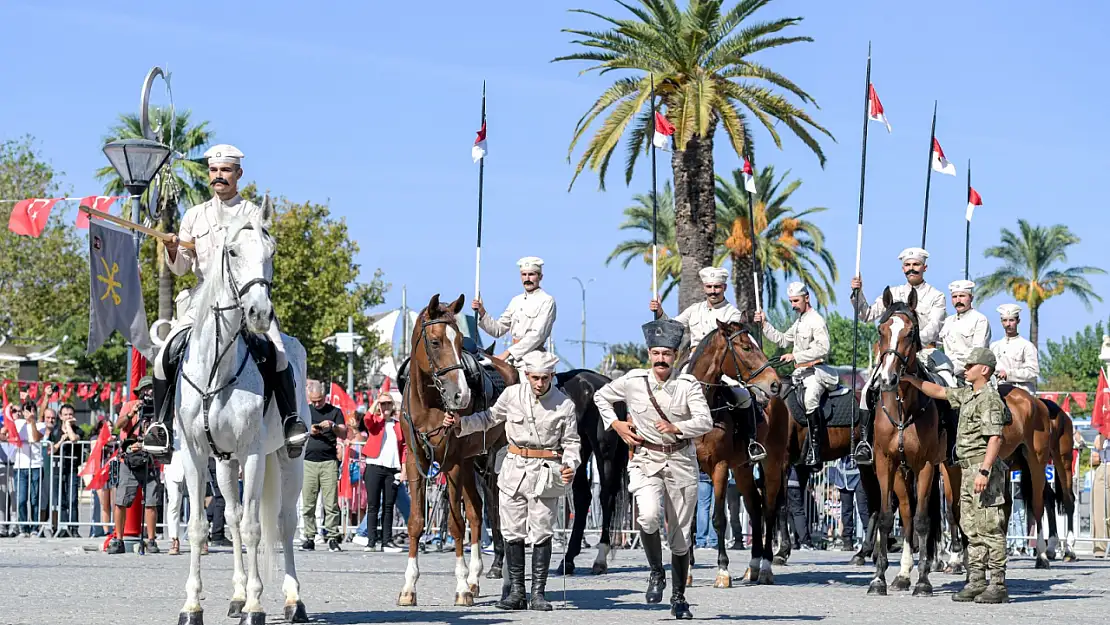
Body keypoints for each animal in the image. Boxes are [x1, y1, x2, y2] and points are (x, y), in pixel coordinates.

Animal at [175, 202, 310, 625]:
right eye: (232, 252)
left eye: (272, 252)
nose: (260, 313)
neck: (217, 367)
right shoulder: (195, 454)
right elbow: (200, 527)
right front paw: (192, 606)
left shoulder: (252, 453)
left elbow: (254, 528)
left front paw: (255, 605)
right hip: (224, 463)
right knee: (232, 518)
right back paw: (235, 595)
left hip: (287, 457)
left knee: (283, 523)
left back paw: (292, 600)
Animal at [395, 295, 515, 608]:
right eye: (436, 342)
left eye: (460, 341)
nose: (462, 395)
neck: (429, 403)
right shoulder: (415, 461)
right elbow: (416, 522)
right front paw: (409, 586)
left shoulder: (453, 463)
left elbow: (456, 524)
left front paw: (460, 586)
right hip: (473, 464)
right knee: (477, 513)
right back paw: (475, 579)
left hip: (493, 464)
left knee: (497, 515)